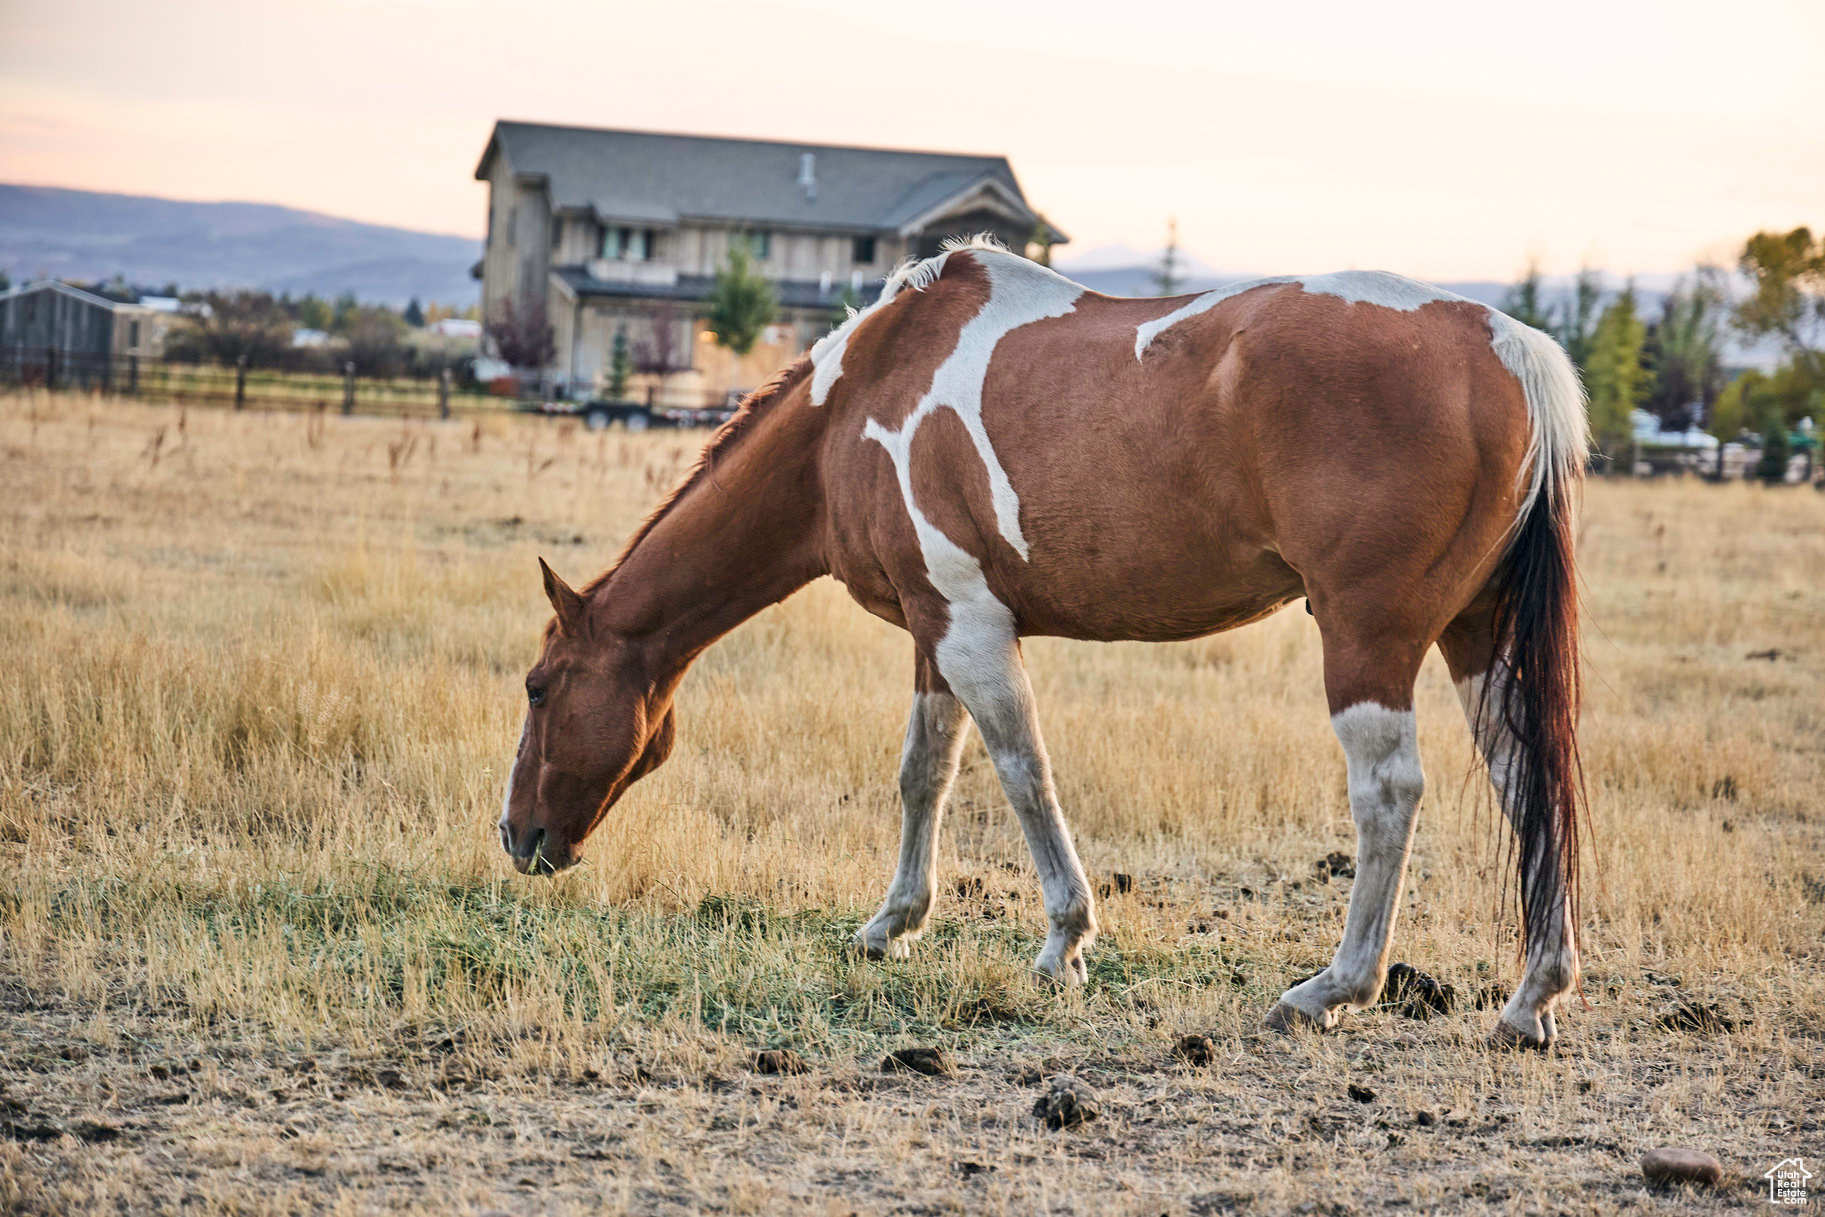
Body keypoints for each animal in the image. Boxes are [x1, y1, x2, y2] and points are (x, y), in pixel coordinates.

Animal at [496, 235, 1584, 1050]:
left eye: (540, 686)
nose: (517, 836)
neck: (857, 402)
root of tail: (1500, 342)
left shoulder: (973, 631)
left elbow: (1023, 773)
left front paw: (1064, 940)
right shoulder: (934, 630)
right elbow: (924, 774)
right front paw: (891, 923)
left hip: (1368, 639)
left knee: (1388, 792)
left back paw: (1332, 987)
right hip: (1476, 637)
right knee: (1524, 780)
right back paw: (1531, 997)